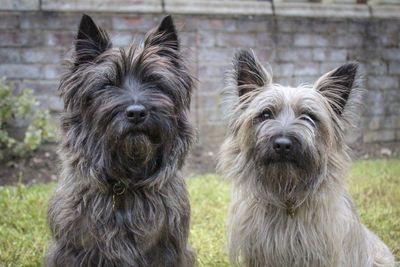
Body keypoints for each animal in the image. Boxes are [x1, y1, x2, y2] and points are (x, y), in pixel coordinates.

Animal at [46, 14, 196, 267]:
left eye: (155, 82)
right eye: (107, 84)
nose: (136, 113)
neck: (125, 185)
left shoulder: (169, 250)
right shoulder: (73, 250)